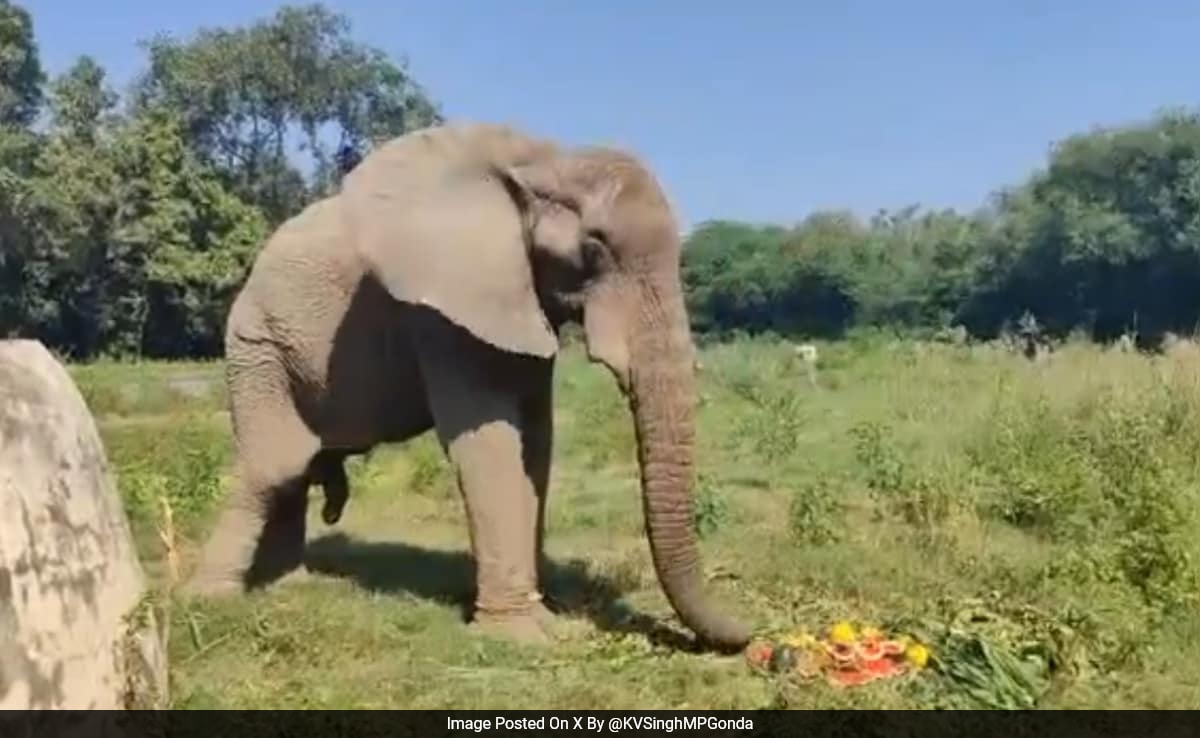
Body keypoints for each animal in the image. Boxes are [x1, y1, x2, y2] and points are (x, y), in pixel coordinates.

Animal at [184, 121, 748, 652]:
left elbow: (535, 445)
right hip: (257, 346)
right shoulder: (444, 312)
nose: (751, 637)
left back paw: (289, 585)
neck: (545, 162)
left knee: (294, 467)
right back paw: (211, 598)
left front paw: (542, 618)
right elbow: (488, 442)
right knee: (276, 463)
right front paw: (519, 637)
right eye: (595, 246)